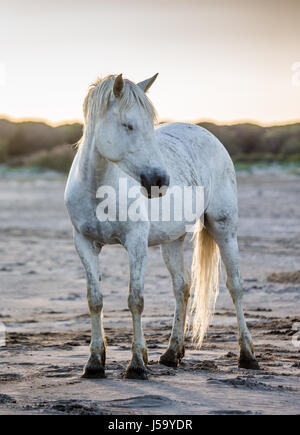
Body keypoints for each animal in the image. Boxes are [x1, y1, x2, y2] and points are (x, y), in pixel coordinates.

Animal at [64, 73, 258, 380]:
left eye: (150, 126)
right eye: (128, 125)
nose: (160, 181)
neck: (100, 188)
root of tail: (207, 134)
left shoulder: (136, 243)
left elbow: (135, 300)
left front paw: (136, 364)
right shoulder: (84, 243)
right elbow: (94, 300)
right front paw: (94, 363)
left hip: (224, 227)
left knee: (235, 285)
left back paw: (248, 355)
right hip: (172, 240)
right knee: (182, 287)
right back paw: (171, 353)